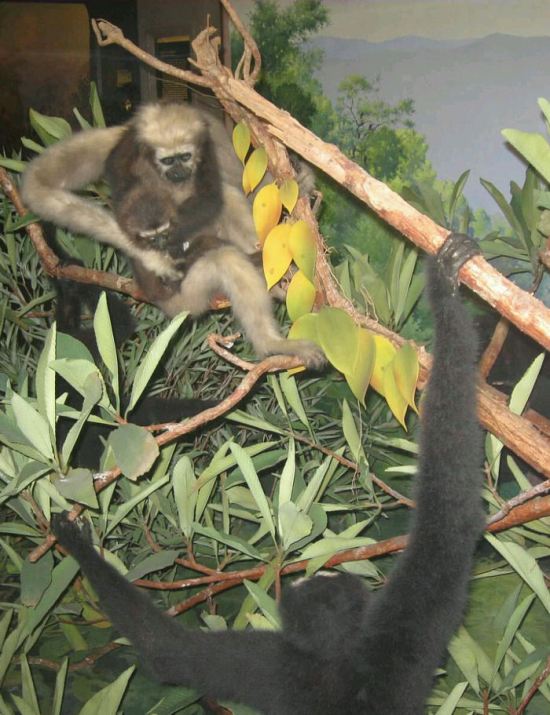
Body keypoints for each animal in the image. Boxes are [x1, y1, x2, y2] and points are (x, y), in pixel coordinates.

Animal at [21, 102, 325, 368]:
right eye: (167, 160)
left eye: (185, 156)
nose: (179, 171)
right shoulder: (118, 144)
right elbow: (39, 186)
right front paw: (154, 258)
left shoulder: (211, 139)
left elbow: (241, 183)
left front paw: (301, 180)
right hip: (186, 300)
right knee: (224, 257)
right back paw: (270, 343)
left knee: (227, 195)